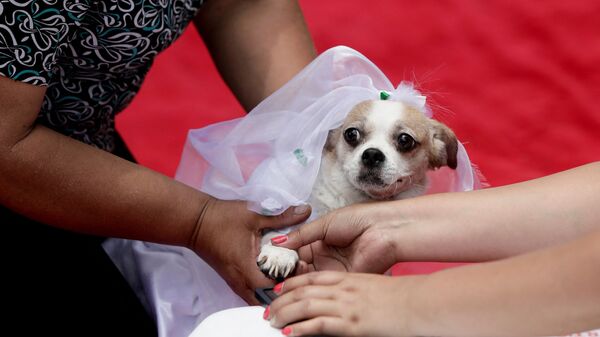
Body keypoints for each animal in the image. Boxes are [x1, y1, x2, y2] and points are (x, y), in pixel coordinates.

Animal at [255, 99, 458, 278]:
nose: (372, 154)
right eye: (351, 134)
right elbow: (288, 229)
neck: (357, 199)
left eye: (405, 140)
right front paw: (280, 252)